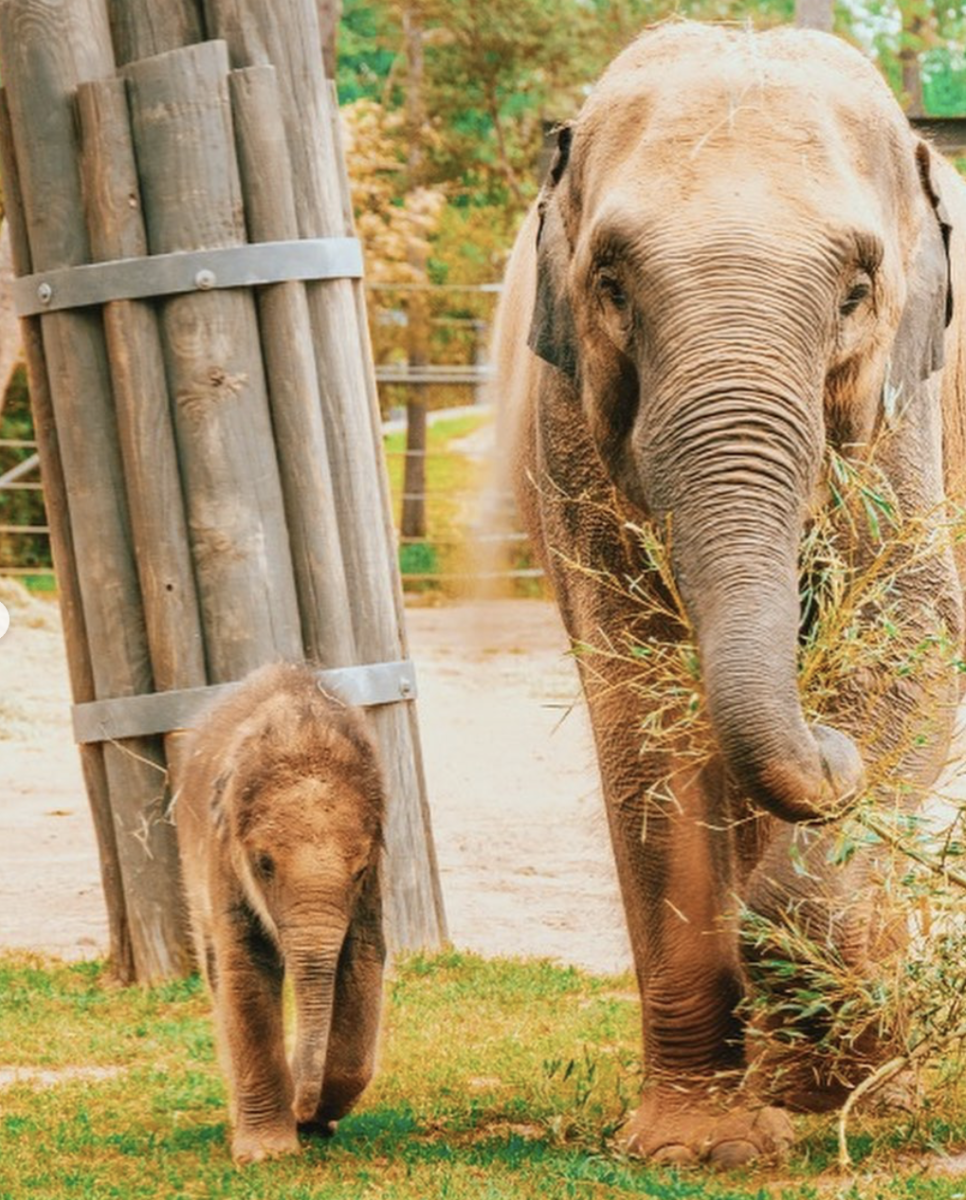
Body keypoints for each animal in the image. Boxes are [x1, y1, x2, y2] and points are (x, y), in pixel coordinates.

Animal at [175, 662, 386, 1166]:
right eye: (264, 864)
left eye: (359, 869)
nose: (302, 1111)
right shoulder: (222, 857)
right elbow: (246, 971)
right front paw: (266, 1154)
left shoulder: (371, 888)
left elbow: (362, 960)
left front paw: (314, 1121)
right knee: (216, 971)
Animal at [496, 18, 964, 1161]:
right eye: (612, 284)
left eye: (856, 292)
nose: (832, 755)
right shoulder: (571, 431)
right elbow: (642, 713)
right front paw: (692, 1147)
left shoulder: (908, 424)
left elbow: (908, 648)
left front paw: (824, 1082)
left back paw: (864, 1084)